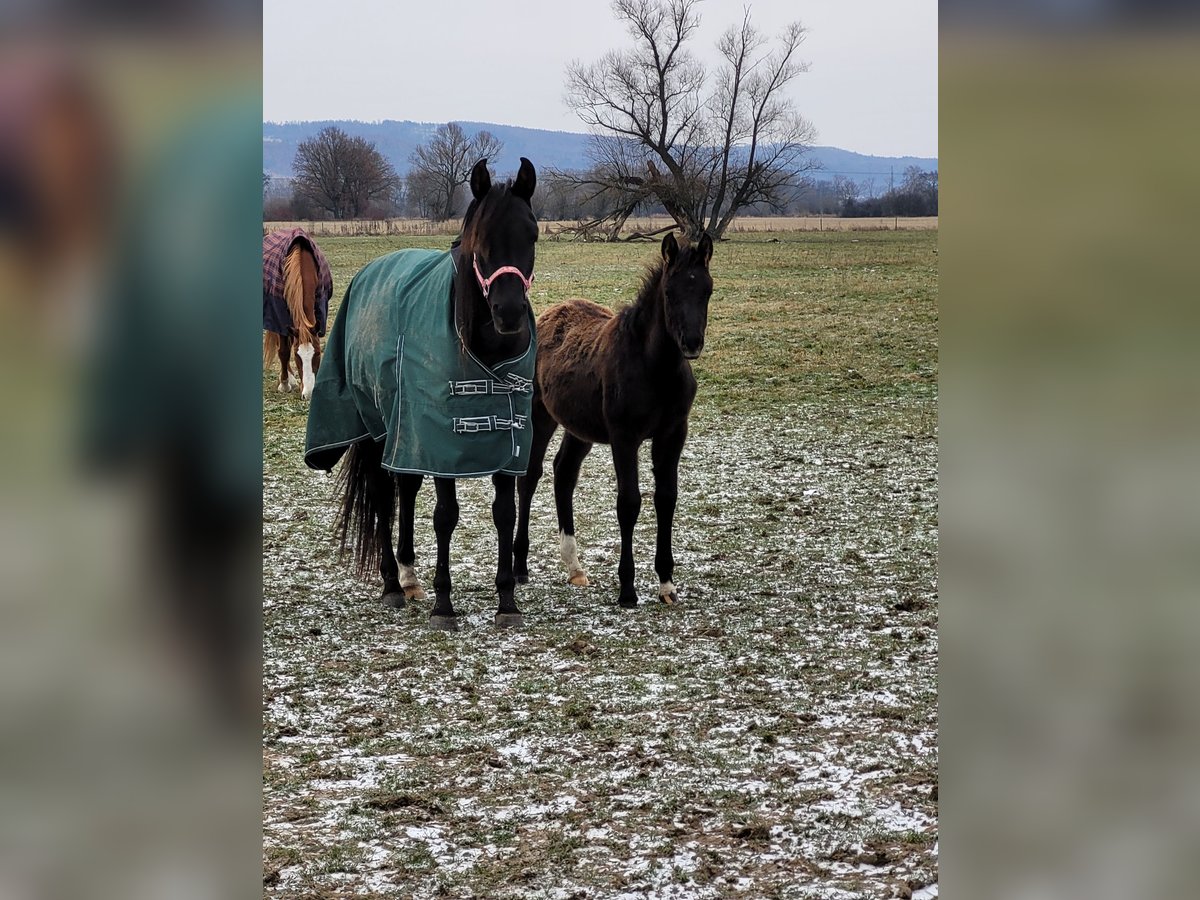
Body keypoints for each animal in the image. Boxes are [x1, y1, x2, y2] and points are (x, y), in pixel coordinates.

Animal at [304, 158, 540, 628]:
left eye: (532, 235)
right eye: (481, 241)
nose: (508, 313)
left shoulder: (508, 444)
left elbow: (504, 514)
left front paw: (507, 600)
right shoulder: (440, 443)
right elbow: (445, 516)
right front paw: (444, 605)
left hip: (404, 432)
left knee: (406, 487)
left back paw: (410, 575)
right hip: (377, 429)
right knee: (383, 493)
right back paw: (393, 584)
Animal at [516, 232, 710, 609]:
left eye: (707, 289)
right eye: (669, 292)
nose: (692, 343)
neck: (655, 368)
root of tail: (548, 314)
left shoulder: (673, 433)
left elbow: (666, 498)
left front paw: (666, 584)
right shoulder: (624, 436)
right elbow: (629, 502)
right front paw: (628, 589)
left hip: (579, 428)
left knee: (564, 473)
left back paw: (575, 567)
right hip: (539, 416)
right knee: (529, 477)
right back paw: (519, 567)